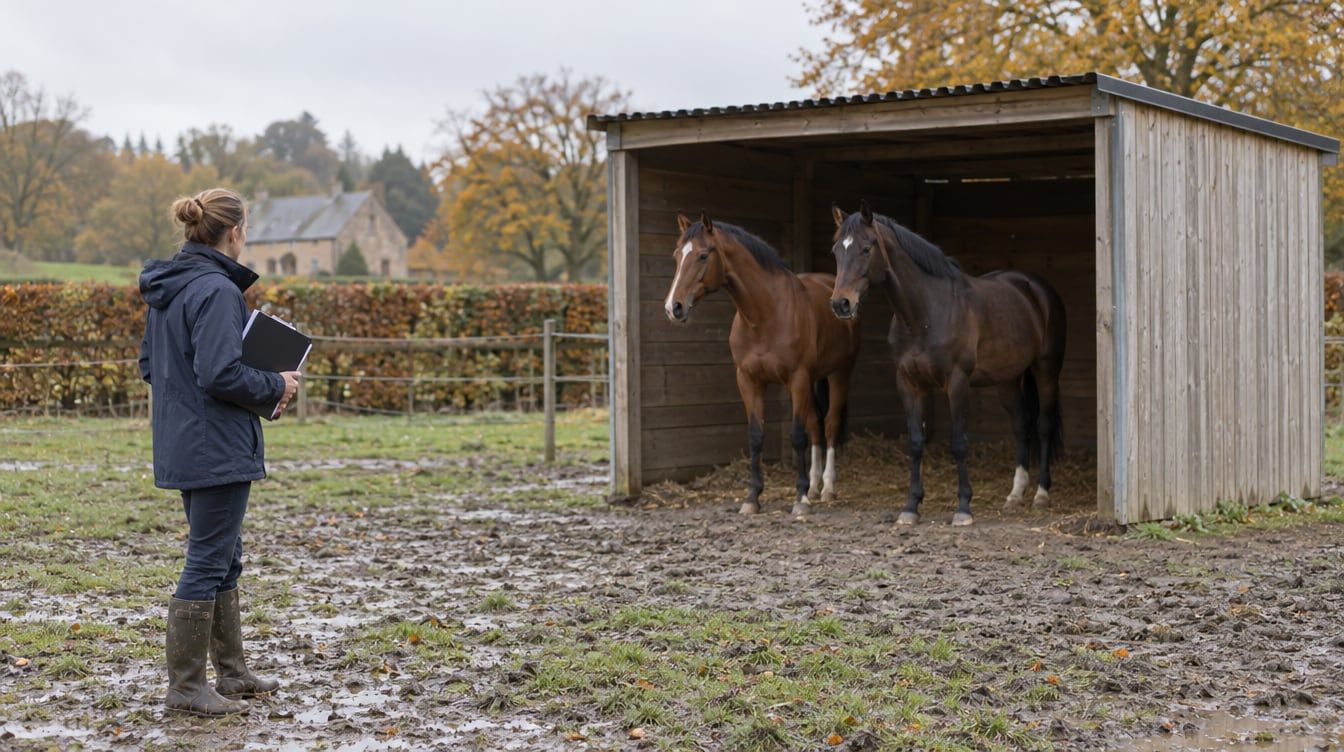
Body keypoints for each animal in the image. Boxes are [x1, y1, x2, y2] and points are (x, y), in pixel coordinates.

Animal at [664, 211, 862, 518]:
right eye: (676, 255)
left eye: (703, 255)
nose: (673, 307)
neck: (764, 315)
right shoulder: (748, 380)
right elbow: (756, 436)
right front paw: (752, 498)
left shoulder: (797, 378)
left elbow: (797, 435)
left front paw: (799, 498)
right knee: (816, 424)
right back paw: (814, 486)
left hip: (840, 373)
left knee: (829, 424)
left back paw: (826, 488)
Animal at [828, 200, 1066, 526]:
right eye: (836, 250)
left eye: (866, 248)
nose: (841, 304)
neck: (925, 313)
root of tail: (1035, 287)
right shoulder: (908, 382)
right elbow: (915, 443)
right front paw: (911, 506)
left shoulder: (957, 382)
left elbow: (959, 442)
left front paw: (963, 508)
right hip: (1007, 379)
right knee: (1021, 425)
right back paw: (1015, 495)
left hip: (1046, 371)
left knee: (1043, 425)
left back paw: (1041, 495)